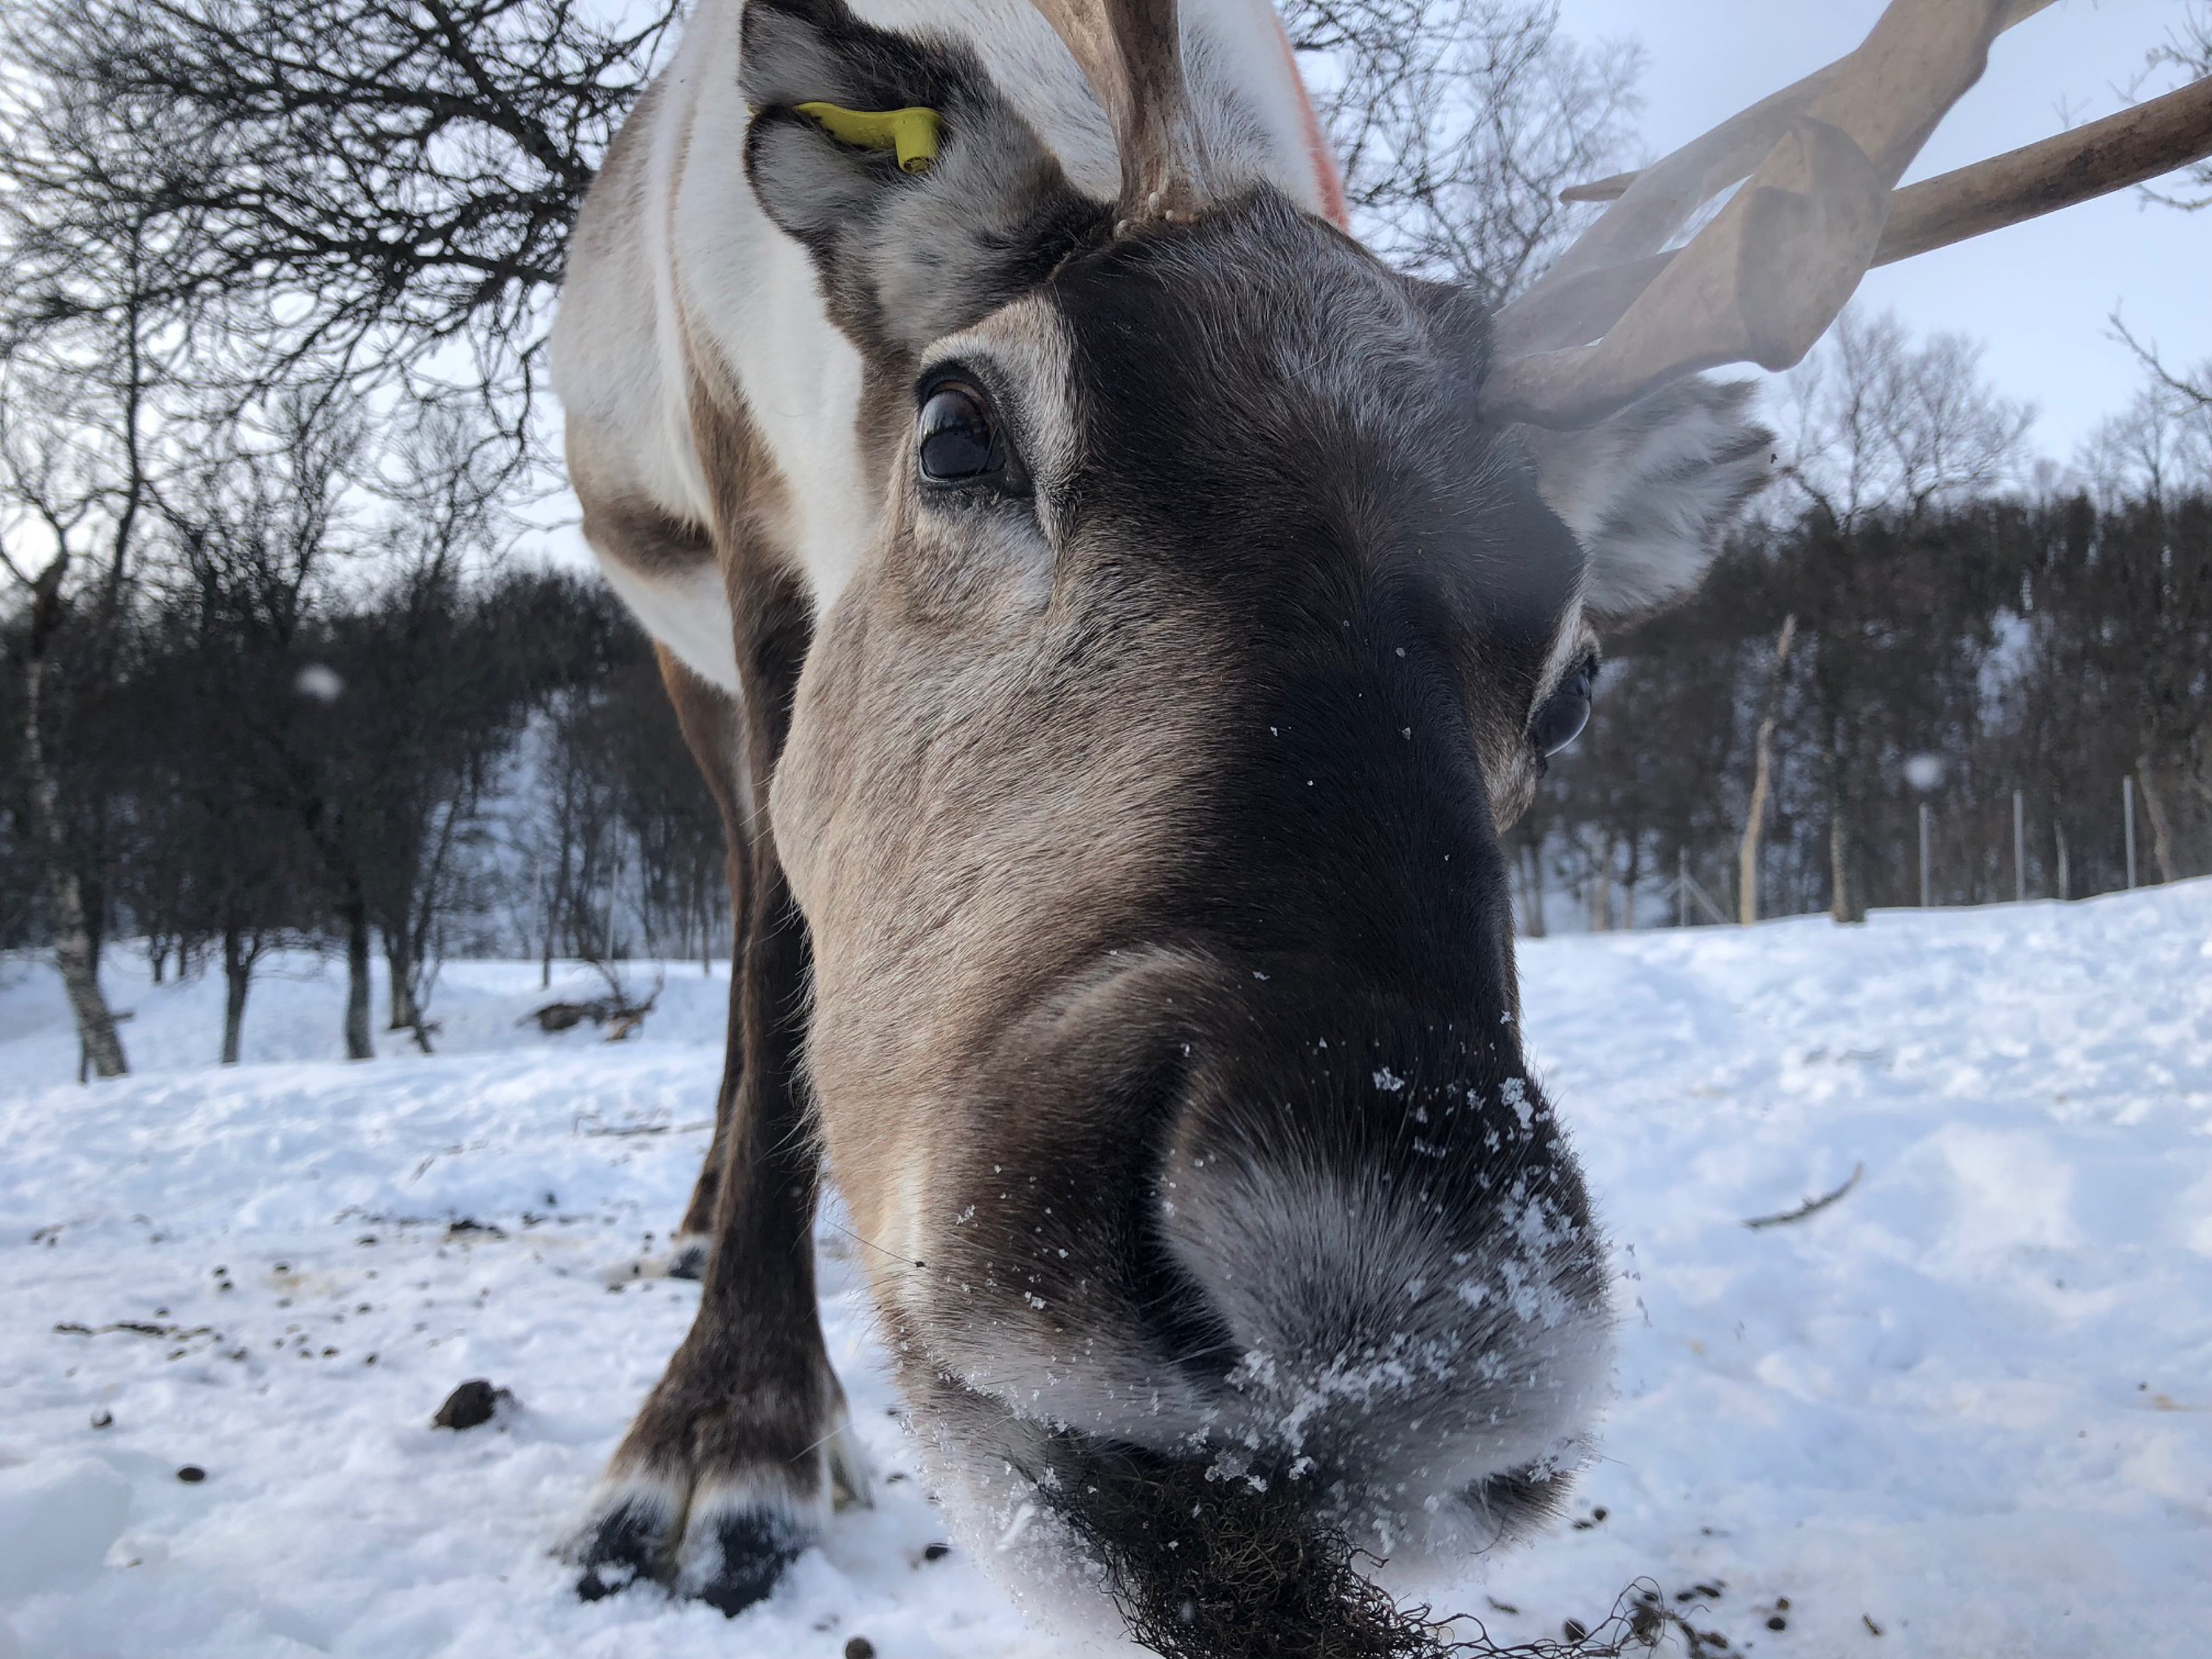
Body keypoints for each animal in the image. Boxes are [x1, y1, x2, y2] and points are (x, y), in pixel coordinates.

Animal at [547, 0, 2212, 1635]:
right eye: (956, 428)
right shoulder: (754, 538)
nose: (1386, 1326)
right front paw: (721, 1448)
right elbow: (779, 954)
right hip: (680, 655)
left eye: (1573, 682)